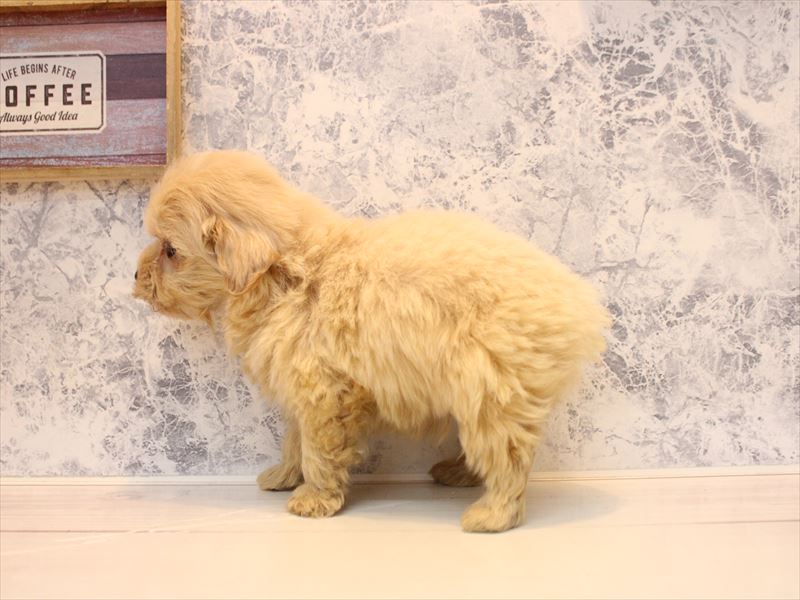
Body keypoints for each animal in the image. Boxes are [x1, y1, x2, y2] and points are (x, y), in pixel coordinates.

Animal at [133, 150, 610, 532]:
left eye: (171, 250)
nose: (135, 276)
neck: (285, 272)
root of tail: (576, 306)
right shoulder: (302, 387)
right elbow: (294, 441)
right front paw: (284, 476)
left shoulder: (323, 394)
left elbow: (318, 450)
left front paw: (313, 499)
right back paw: (459, 473)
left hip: (492, 388)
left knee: (508, 458)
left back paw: (492, 515)